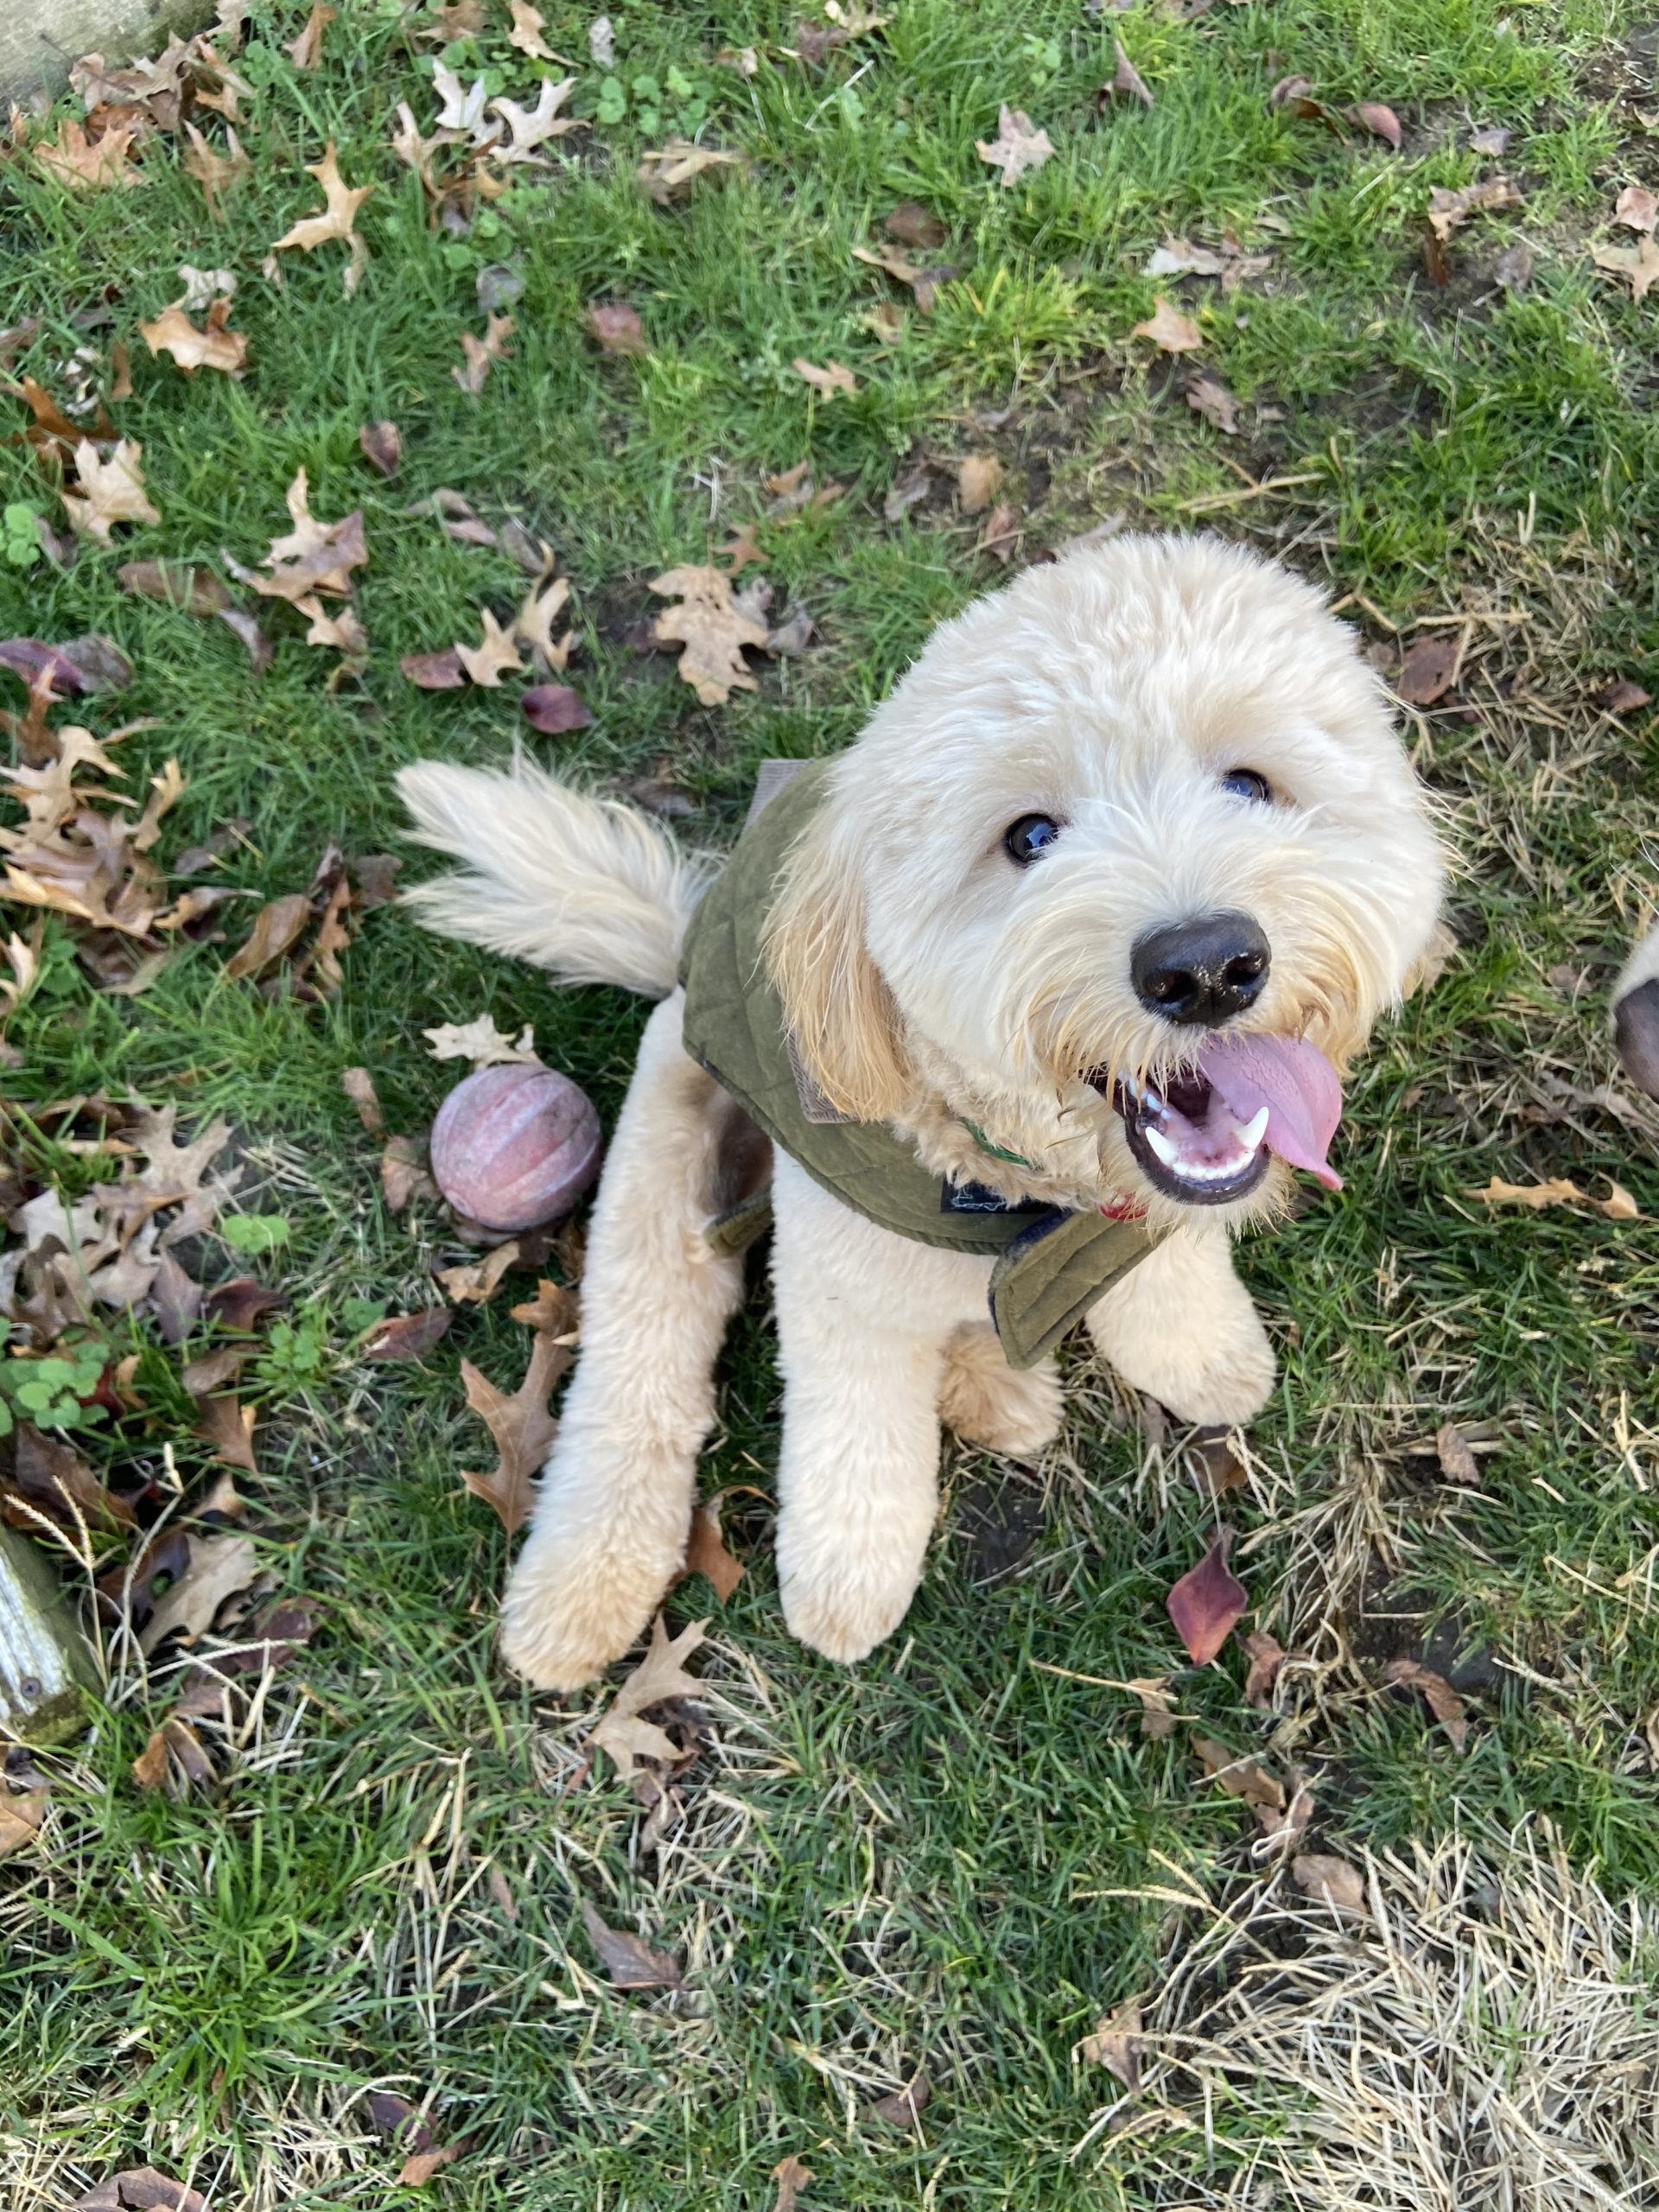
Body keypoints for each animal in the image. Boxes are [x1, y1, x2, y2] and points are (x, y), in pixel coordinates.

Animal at [398, 533, 1446, 1689]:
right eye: (1028, 836)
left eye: (1252, 783)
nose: (1207, 967)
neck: (1008, 1183)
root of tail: (682, 948)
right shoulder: (838, 1293)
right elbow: (856, 1446)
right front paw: (847, 1583)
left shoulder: (1130, 1218)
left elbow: (1168, 1272)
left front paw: (1201, 1354)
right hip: (660, 1170)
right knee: (639, 1378)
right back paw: (582, 1589)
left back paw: (998, 1391)